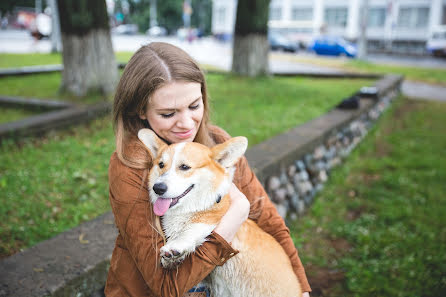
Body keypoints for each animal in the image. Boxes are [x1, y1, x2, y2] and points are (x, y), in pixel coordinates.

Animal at [138, 128, 302, 296]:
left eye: (184, 167)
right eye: (161, 165)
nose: (157, 188)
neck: (187, 209)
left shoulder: (217, 216)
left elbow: (196, 227)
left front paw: (177, 245)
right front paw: (171, 259)